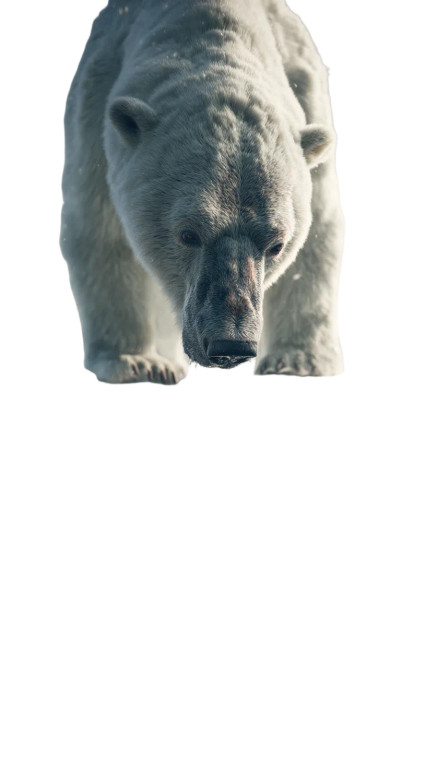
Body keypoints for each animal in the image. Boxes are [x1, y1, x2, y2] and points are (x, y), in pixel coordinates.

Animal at [60, 0, 344, 384]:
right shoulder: (96, 107)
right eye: (187, 234)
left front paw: (298, 361)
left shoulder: (308, 91)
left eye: (277, 244)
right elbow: (102, 233)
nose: (231, 345)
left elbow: (319, 236)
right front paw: (136, 362)